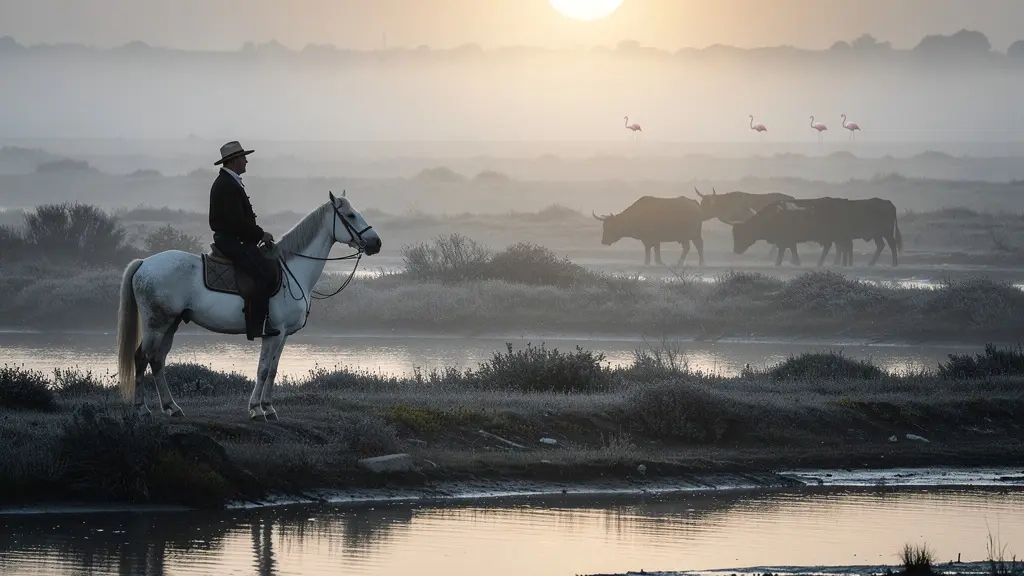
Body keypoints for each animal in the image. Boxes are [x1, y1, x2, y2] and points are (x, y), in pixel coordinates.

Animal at [116, 190, 382, 421]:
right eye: (351, 215)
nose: (376, 243)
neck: (292, 272)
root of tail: (144, 263)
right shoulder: (274, 333)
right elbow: (263, 369)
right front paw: (256, 409)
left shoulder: (283, 335)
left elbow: (273, 369)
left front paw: (269, 408)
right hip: (156, 324)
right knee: (142, 357)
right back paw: (142, 409)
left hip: (171, 323)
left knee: (157, 360)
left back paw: (171, 407)